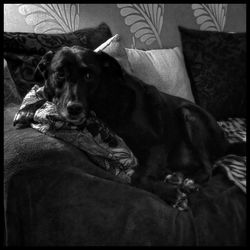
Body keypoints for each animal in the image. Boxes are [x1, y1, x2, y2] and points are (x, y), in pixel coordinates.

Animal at [34, 46, 245, 206]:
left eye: (88, 75)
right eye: (60, 73)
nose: (74, 108)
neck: (108, 98)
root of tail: (226, 142)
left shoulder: (156, 145)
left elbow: (137, 178)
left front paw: (171, 194)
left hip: (188, 114)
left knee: (209, 166)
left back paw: (190, 181)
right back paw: (177, 177)